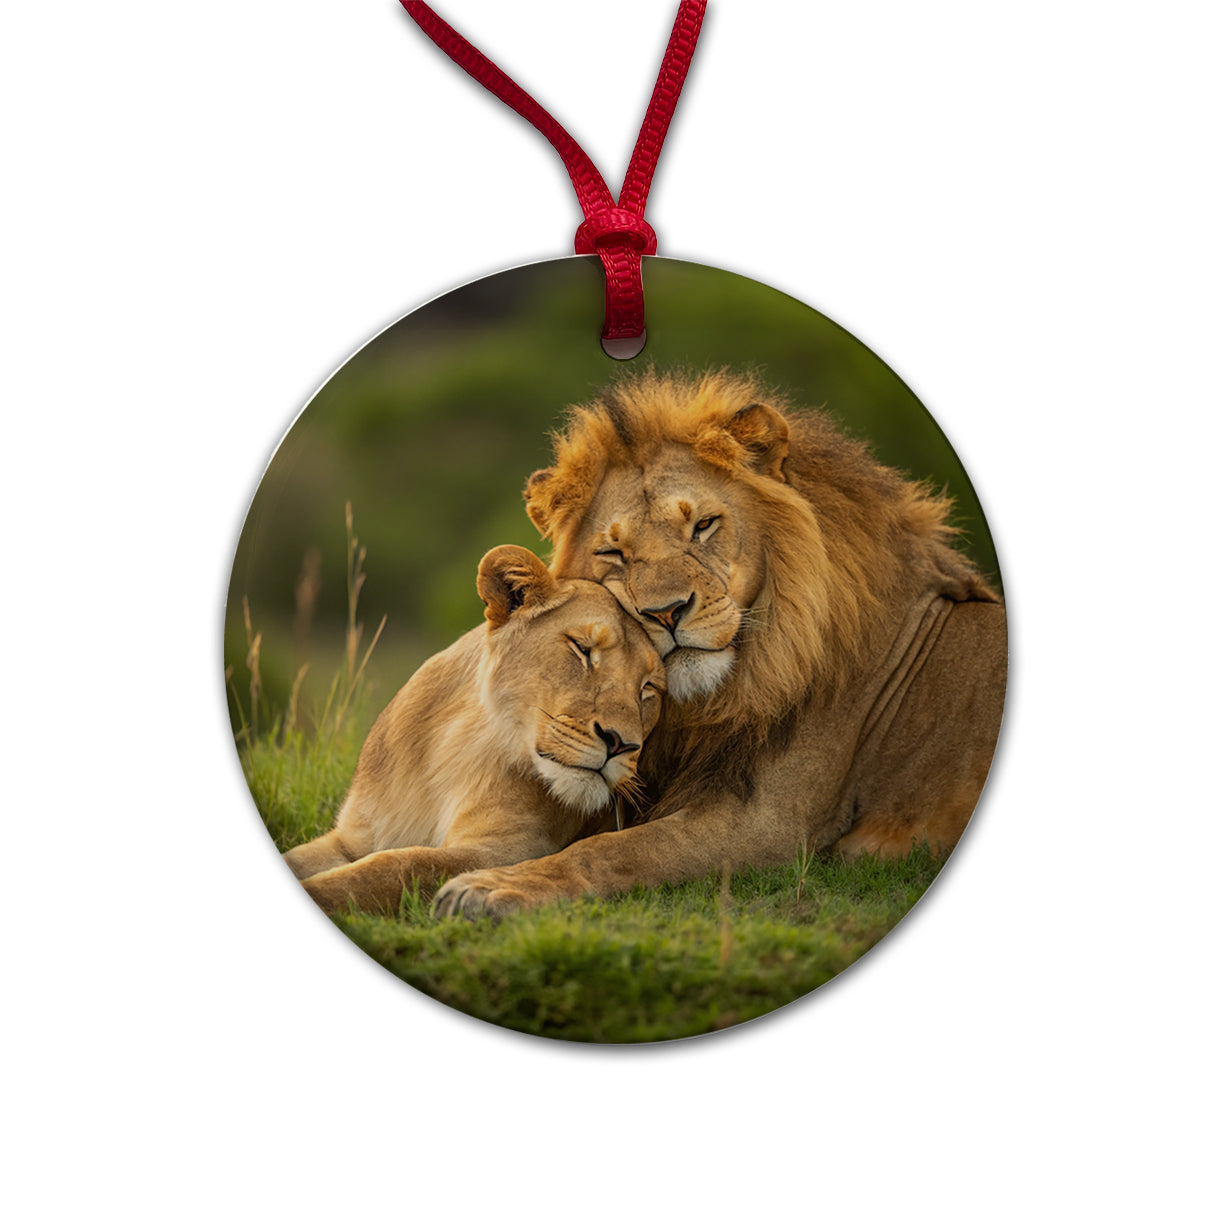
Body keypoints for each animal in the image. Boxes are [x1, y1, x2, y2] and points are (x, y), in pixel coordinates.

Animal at [285, 544, 665, 914]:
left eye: (648, 689)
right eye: (583, 649)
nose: (622, 744)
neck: (455, 748)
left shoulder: (510, 851)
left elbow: (399, 866)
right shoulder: (351, 839)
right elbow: (299, 859)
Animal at [431, 370, 1006, 920]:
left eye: (703, 525)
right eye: (613, 552)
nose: (664, 613)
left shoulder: (770, 824)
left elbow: (617, 850)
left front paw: (489, 888)